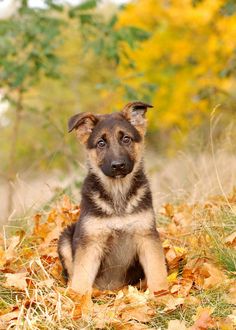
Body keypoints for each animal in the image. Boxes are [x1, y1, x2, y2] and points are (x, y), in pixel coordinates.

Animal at [57, 101, 168, 294]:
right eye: (101, 143)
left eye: (126, 139)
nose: (118, 166)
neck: (118, 193)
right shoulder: (90, 242)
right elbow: (81, 280)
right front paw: (77, 299)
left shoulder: (147, 236)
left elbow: (157, 272)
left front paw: (162, 294)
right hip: (66, 237)